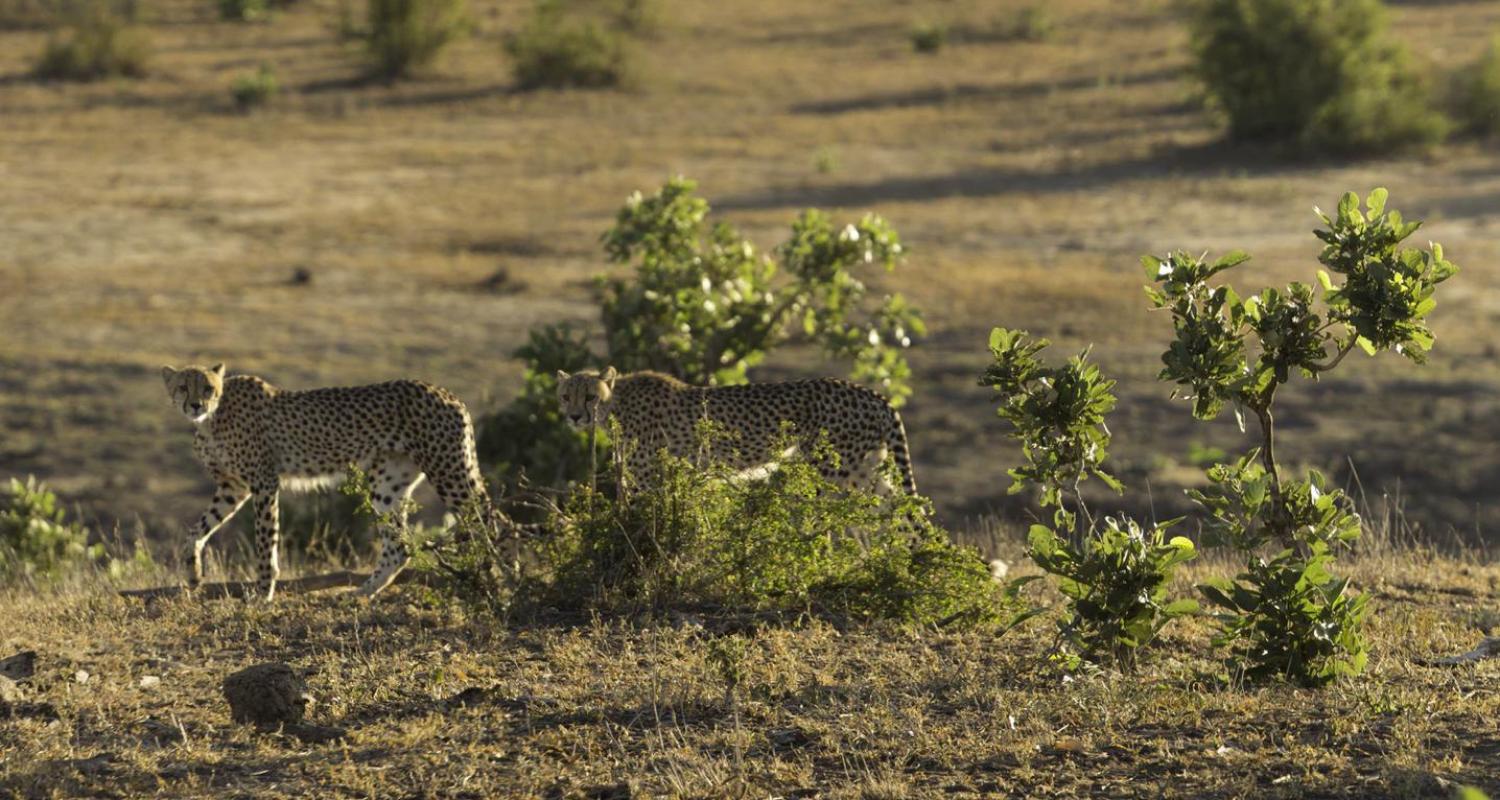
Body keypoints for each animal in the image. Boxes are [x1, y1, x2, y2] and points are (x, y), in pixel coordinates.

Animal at [164, 361, 492, 600]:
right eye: (183, 387)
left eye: (208, 388)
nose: (196, 405)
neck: (211, 420)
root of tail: (446, 392)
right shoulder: (233, 487)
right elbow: (196, 531)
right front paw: (193, 575)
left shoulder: (263, 482)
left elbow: (265, 540)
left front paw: (263, 592)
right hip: (388, 482)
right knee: (398, 547)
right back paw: (362, 592)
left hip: (447, 469)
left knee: (484, 517)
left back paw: (493, 576)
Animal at [558, 366, 918, 492]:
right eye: (565, 396)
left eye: (590, 396)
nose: (575, 417)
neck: (616, 403)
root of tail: (870, 392)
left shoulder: (645, 477)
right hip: (864, 467)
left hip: (832, 471)